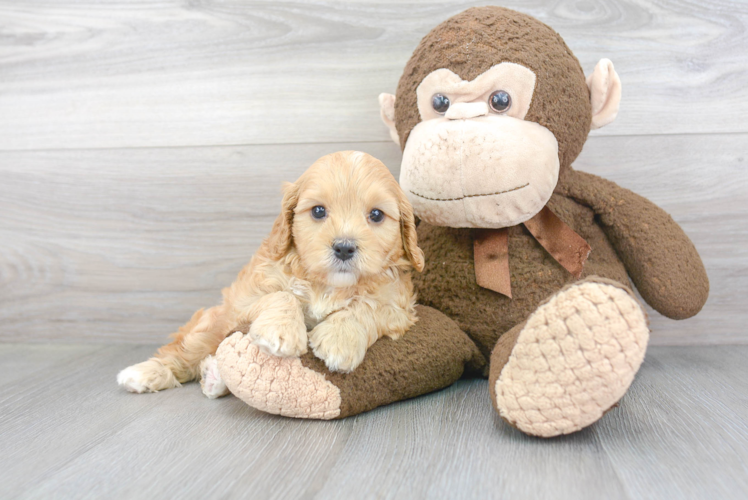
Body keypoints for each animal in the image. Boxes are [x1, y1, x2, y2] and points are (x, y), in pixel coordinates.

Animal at [116, 151, 420, 398]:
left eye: (376, 215)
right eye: (318, 211)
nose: (344, 248)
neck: (328, 286)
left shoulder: (399, 306)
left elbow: (368, 307)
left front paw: (339, 339)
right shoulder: (245, 297)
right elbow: (281, 295)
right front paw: (280, 331)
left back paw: (213, 376)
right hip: (212, 324)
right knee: (184, 352)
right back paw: (146, 373)